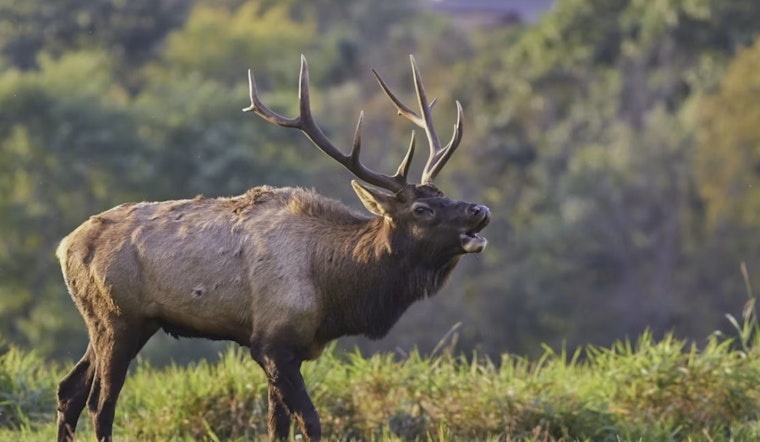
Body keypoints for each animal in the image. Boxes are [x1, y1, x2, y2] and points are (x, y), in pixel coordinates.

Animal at [55, 55, 490, 442]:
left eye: (443, 194)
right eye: (422, 209)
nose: (480, 210)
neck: (334, 290)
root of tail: (64, 247)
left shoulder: (289, 348)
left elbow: (275, 426)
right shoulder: (272, 342)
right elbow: (310, 422)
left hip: (115, 321)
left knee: (68, 390)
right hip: (118, 318)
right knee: (100, 405)